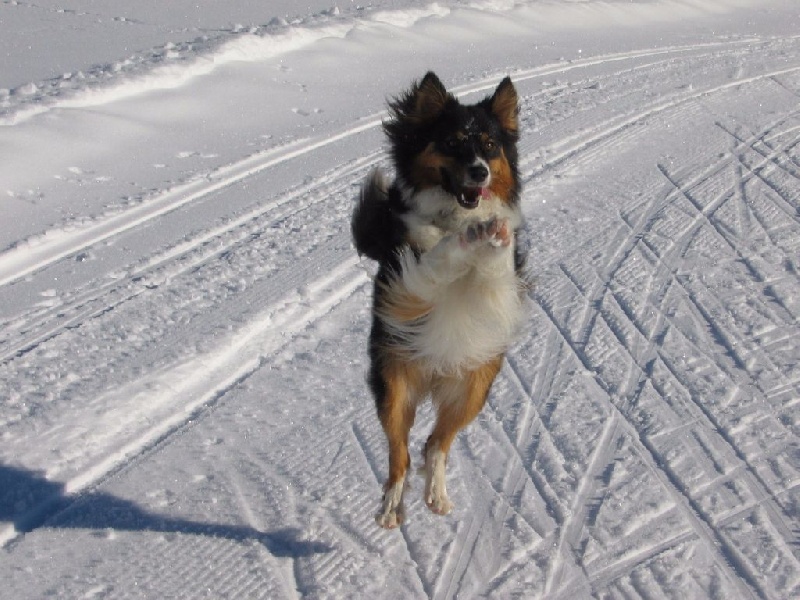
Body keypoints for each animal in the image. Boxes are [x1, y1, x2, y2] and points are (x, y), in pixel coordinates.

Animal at [350, 71, 524, 528]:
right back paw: (391, 506)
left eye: (490, 144)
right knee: (400, 453)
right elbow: (436, 258)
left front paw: (493, 234)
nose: (480, 172)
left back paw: (437, 494)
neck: (456, 215)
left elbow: (497, 266)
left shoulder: (500, 295)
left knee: (436, 442)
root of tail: (433, 372)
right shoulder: (406, 284)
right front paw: (462, 241)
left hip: (474, 383)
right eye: (452, 142)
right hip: (395, 379)